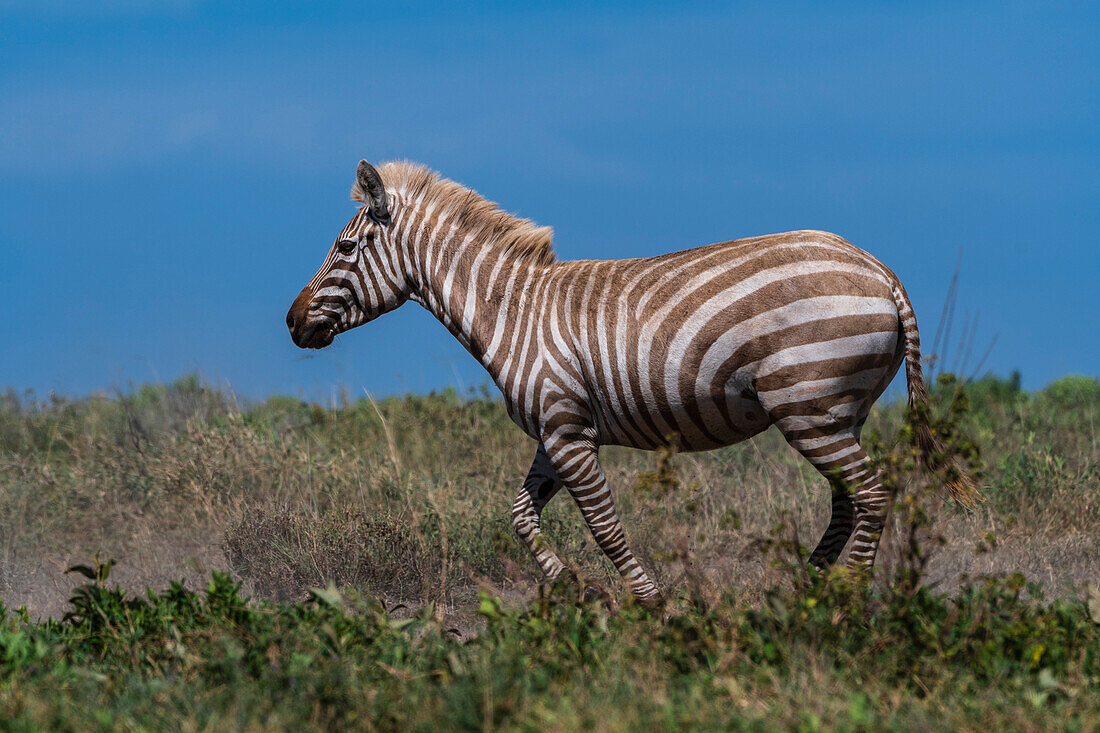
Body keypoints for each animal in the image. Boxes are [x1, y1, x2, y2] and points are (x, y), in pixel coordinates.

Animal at [286, 158, 981, 603]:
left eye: (344, 250)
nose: (292, 323)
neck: (513, 310)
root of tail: (880, 269)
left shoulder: (568, 431)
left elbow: (604, 526)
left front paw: (649, 605)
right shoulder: (555, 430)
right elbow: (520, 516)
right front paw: (575, 588)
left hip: (808, 407)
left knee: (872, 495)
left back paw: (846, 601)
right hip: (837, 412)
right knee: (848, 500)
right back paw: (805, 589)